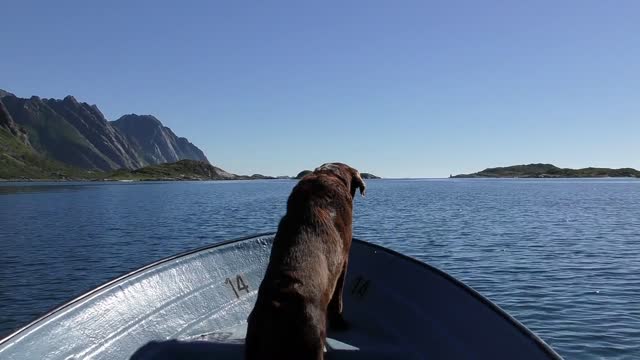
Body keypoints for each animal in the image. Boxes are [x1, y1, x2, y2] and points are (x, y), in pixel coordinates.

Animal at [245, 163, 364, 360]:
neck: (329, 175)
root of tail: (279, 306)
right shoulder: (344, 260)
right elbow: (338, 299)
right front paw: (340, 322)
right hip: (312, 342)